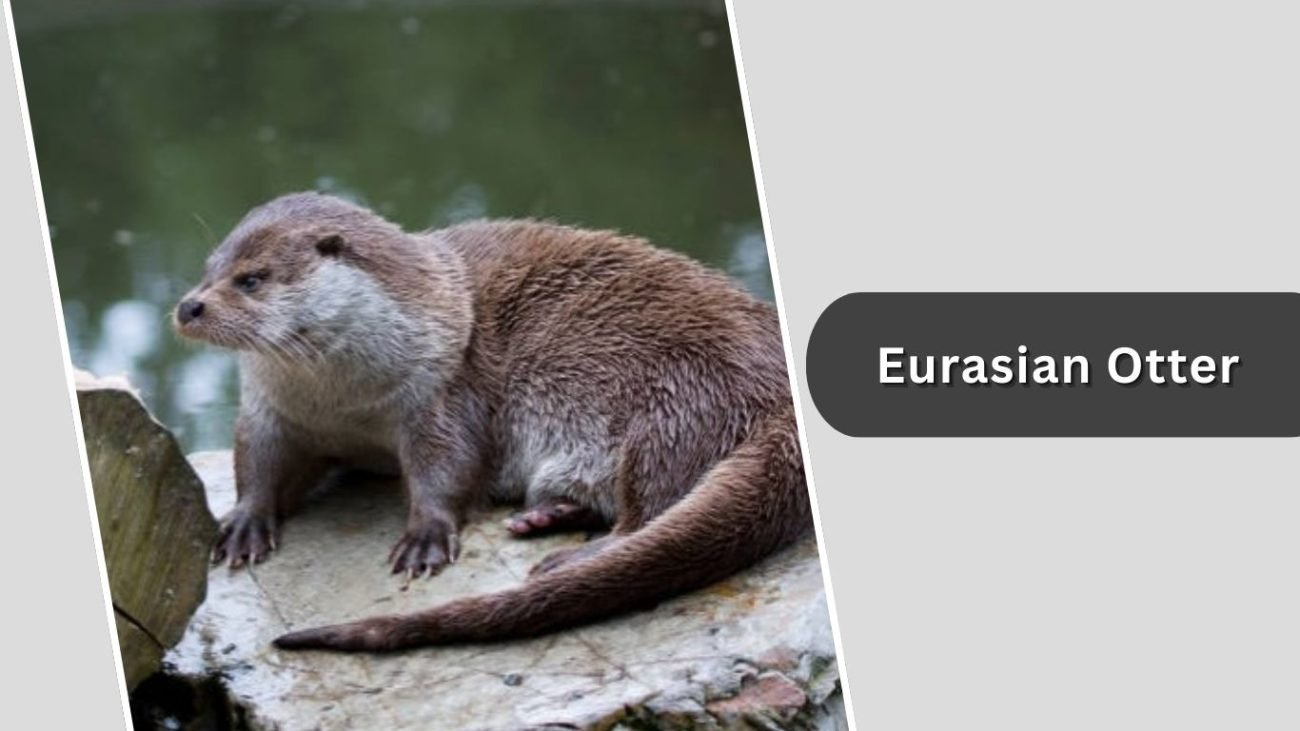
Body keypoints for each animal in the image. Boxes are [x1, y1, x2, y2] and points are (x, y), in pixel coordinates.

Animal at [174, 192, 812, 651]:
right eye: (207, 270)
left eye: (251, 279)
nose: (189, 305)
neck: (342, 403)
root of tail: (778, 390)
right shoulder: (271, 410)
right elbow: (256, 463)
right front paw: (243, 524)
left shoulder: (442, 391)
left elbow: (448, 467)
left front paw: (425, 536)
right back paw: (545, 517)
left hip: (677, 408)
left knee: (649, 509)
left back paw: (569, 558)